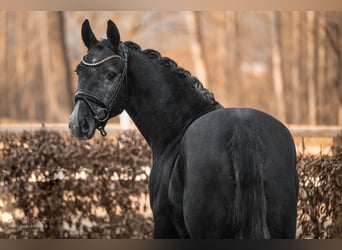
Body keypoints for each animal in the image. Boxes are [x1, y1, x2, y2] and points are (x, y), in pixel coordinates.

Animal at [68, 19, 298, 238]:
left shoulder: (163, 228)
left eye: (111, 74)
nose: (78, 123)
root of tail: (243, 129)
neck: (178, 127)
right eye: (79, 71)